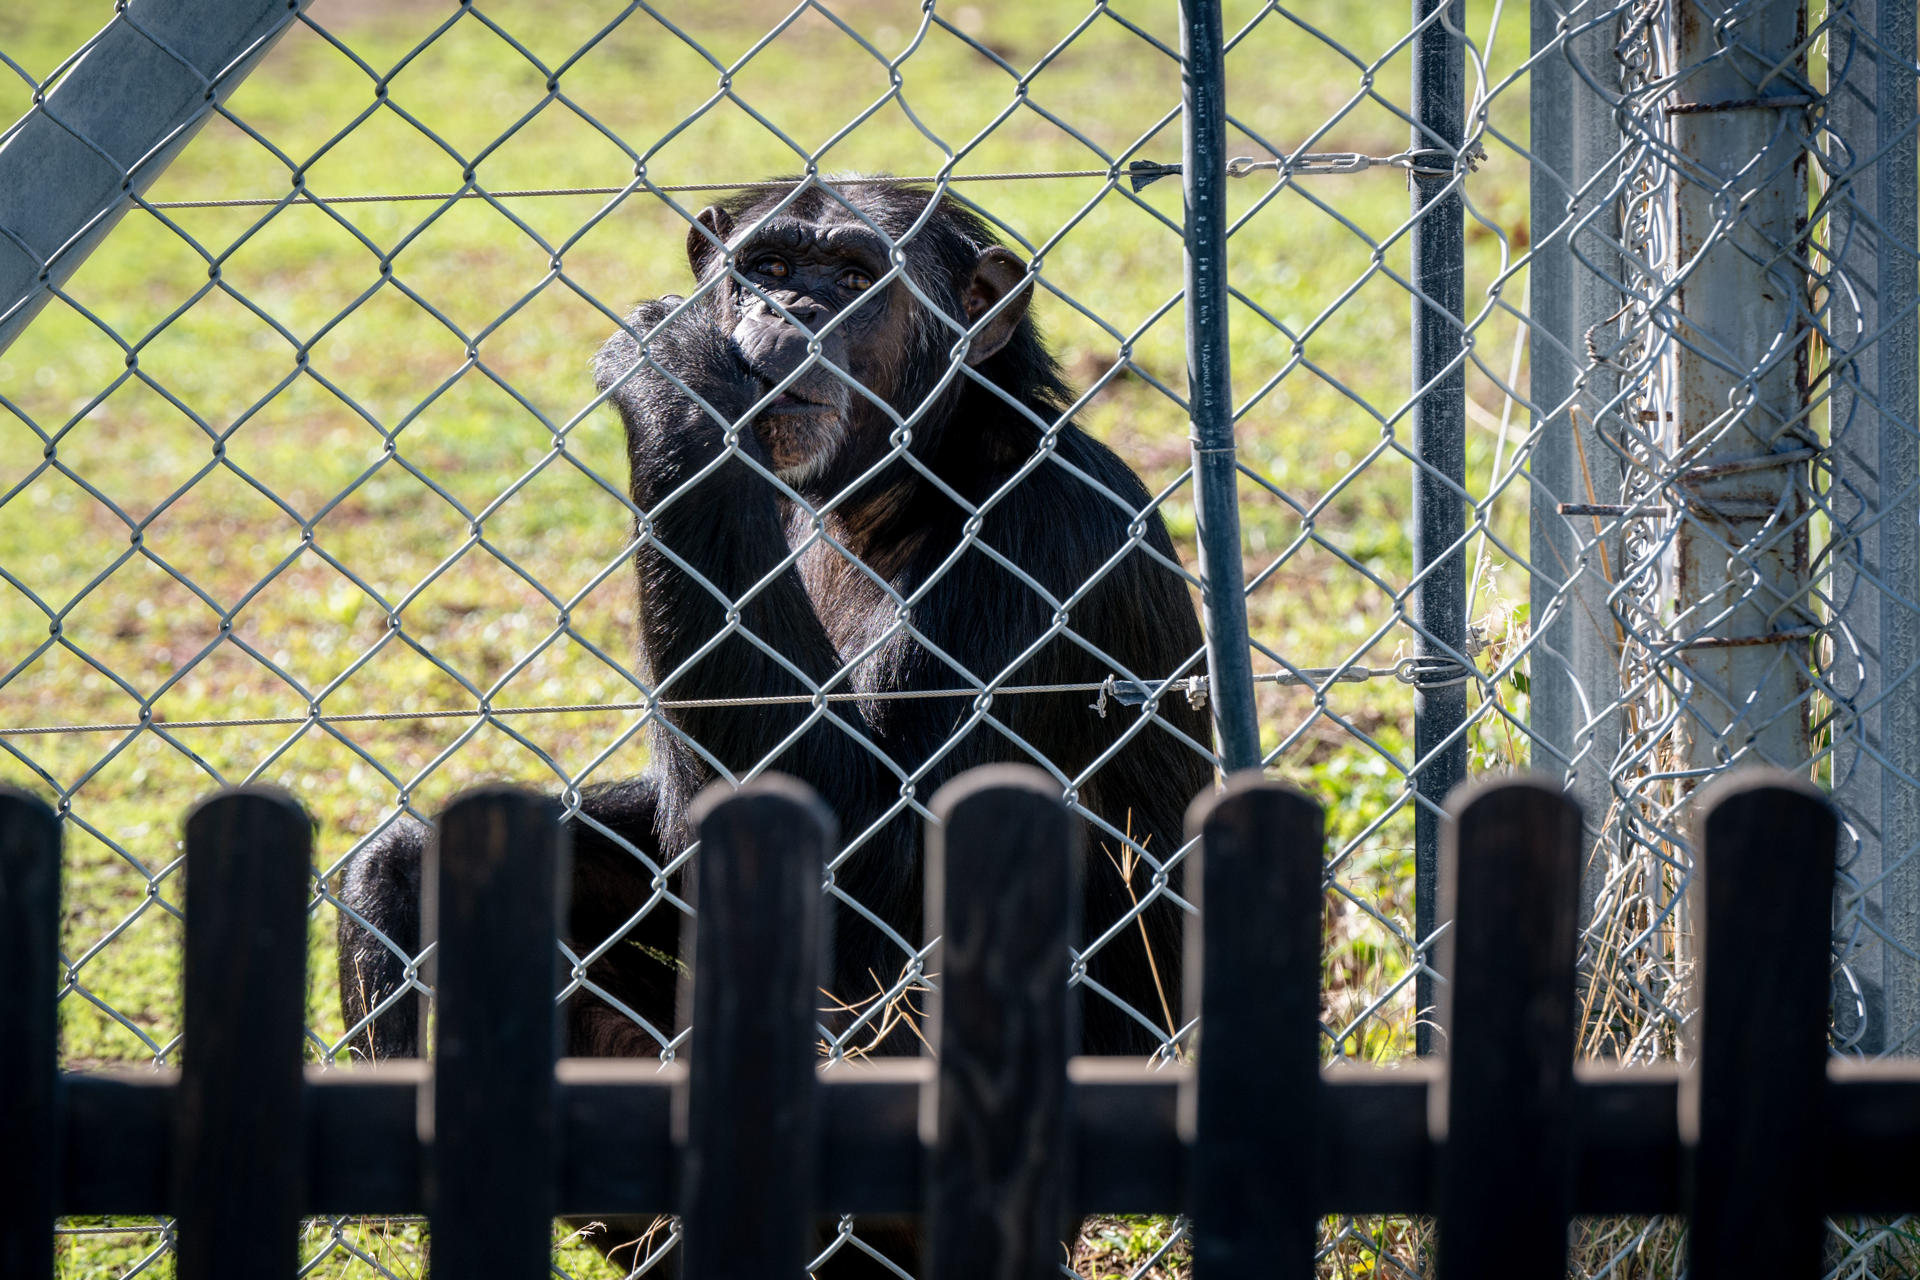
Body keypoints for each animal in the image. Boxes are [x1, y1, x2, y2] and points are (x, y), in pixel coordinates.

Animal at [334, 177, 1213, 1258]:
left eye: (852, 275)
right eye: (771, 264)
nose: (785, 309)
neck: (898, 489)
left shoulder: (1045, 547)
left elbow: (883, 880)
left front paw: (683, 376)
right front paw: (409, 869)